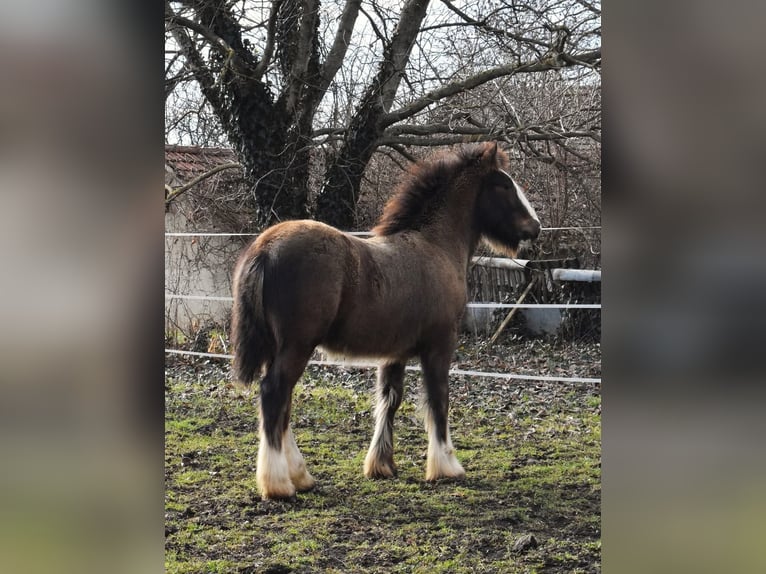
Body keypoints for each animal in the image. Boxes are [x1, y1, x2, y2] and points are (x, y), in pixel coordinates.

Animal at [231, 142, 544, 502]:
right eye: (504, 185)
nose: (535, 227)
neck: (435, 247)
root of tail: (265, 248)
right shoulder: (440, 344)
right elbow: (438, 399)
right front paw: (446, 466)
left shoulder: (394, 352)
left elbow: (389, 399)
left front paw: (381, 465)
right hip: (297, 346)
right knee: (274, 393)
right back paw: (279, 483)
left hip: (278, 347)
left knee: (283, 403)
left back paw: (301, 476)